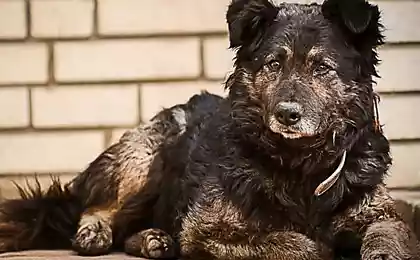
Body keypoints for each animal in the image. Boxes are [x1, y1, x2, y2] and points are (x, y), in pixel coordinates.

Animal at [0, 0, 420, 260]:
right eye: (273, 64)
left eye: (321, 68)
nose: (287, 114)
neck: (301, 165)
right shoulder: (207, 230)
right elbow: (298, 243)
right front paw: (321, 245)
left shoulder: (381, 212)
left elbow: (391, 231)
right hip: (146, 157)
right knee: (96, 207)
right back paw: (95, 232)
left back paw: (154, 239)